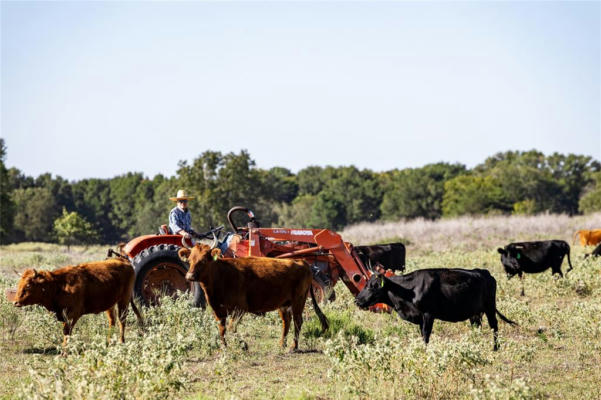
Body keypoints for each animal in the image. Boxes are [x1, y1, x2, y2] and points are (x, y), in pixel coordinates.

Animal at [12, 258, 144, 346]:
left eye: (28, 285)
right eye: (19, 283)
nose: (16, 302)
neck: (59, 285)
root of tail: (122, 260)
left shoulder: (73, 314)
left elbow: (67, 332)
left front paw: (65, 350)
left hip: (124, 300)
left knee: (122, 321)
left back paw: (121, 341)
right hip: (110, 304)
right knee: (112, 321)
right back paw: (108, 342)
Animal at [179, 241, 328, 350]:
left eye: (204, 260)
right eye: (190, 260)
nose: (189, 276)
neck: (222, 275)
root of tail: (302, 261)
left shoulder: (240, 308)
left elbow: (232, 327)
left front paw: (243, 345)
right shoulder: (218, 310)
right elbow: (222, 329)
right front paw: (224, 346)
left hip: (299, 300)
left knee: (298, 321)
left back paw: (293, 346)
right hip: (284, 304)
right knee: (287, 321)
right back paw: (282, 344)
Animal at [356, 268, 516, 350]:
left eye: (373, 285)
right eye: (366, 283)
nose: (357, 300)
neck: (409, 290)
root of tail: (485, 273)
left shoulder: (428, 314)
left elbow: (426, 334)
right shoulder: (420, 318)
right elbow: (422, 334)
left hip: (490, 307)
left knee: (494, 326)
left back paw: (495, 348)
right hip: (475, 313)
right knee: (477, 327)